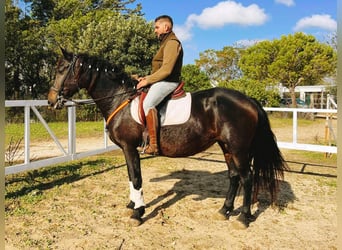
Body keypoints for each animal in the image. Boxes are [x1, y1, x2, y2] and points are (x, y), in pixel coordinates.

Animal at [47, 48, 288, 227]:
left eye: (61, 69)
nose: (50, 100)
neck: (120, 99)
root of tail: (248, 100)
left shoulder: (129, 147)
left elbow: (136, 177)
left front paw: (138, 213)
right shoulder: (127, 149)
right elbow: (130, 176)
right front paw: (132, 205)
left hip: (238, 149)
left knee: (247, 178)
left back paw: (243, 218)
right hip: (226, 146)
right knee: (234, 176)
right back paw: (224, 210)